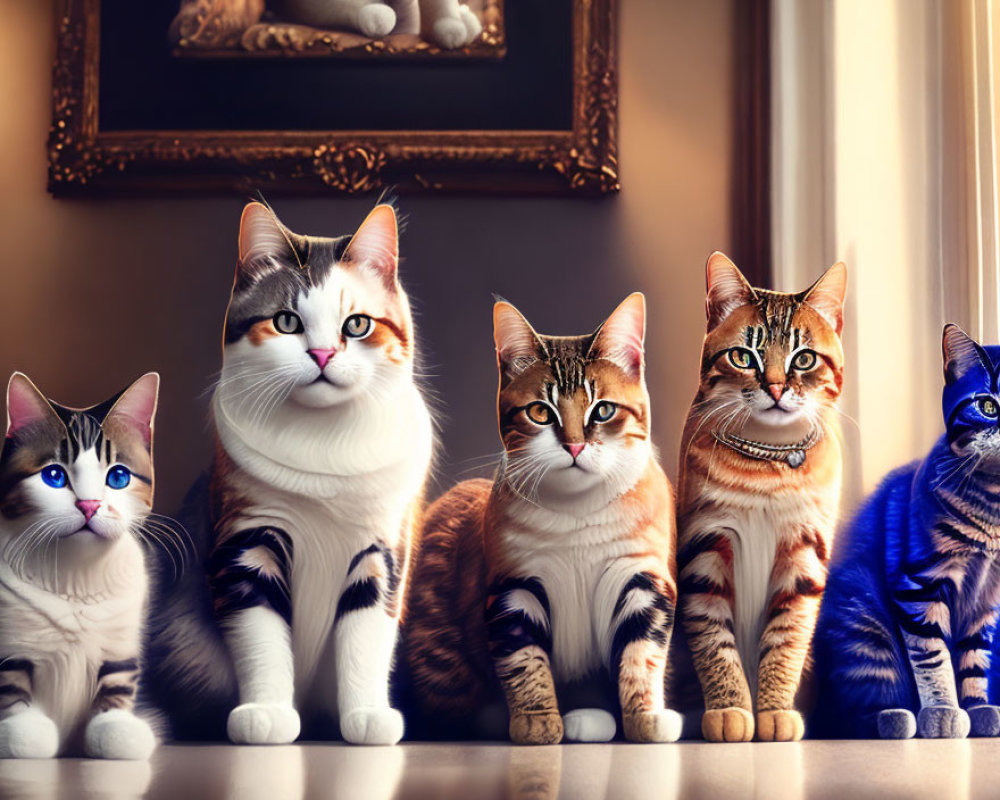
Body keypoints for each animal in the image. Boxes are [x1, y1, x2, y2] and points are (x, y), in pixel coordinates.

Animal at [0, 372, 159, 760]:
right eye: (54, 476)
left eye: (118, 477)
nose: (89, 505)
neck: (77, 576)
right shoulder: (11, 639)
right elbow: (12, 683)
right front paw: (24, 731)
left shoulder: (120, 638)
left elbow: (117, 683)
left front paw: (115, 727)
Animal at [146, 198, 432, 744]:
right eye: (285, 321)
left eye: (357, 325)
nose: (322, 354)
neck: (325, 446)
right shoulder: (246, 542)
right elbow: (262, 639)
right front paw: (266, 714)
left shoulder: (383, 550)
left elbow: (365, 641)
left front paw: (367, 717)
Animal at [404, 296, 680, 748]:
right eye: (539, 412)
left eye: (603, 410)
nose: (574, 445)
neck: (578, 512)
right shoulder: (513, 583)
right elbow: (524, 660)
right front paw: (537, 721)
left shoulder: (642, 575)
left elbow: (642, 653)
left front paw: (645, 717)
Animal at [676, 253, 848, 740]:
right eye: (743, 355)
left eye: (803, 358)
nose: (774, 387)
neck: (766, 466)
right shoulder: (704, 544)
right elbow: (713, 638)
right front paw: (730, 707)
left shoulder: (805, 550)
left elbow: (787, 637)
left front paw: (773, 710)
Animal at [816, 324, 1000, 736]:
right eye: (989, 407)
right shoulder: (919, 585)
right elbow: (933, 659)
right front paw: (944, 713)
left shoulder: (986, 602)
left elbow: (975, 662)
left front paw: (979, 709)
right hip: (865, 626)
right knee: (861, 712)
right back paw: (898, 718)